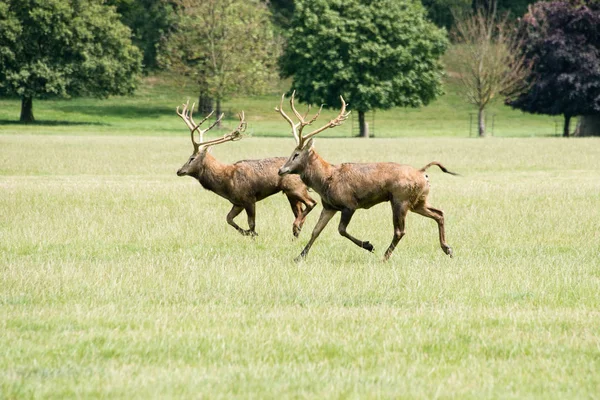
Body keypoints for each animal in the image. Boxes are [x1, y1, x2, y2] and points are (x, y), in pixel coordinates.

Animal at [175, 101, 316, 238]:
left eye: (192, 158)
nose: (179, 171)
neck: (225, 183)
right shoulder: (237, 202)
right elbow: (228, 218)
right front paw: (245, 232)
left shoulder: (249, 198)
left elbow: (251, 223)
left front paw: (253, 235)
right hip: (290, 193)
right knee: (299, 211)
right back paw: (295, 234)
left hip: (295, 188)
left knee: (311, 203)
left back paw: (295, 228)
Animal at [274, 93, 458, 262]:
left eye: (296, 154)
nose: (281, 170)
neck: (325, 181)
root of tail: (423, 173)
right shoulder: (329, 206)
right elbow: (315, 231)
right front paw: (299, 256)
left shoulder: (349, 204)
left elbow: (341, 230)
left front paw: (369, 245)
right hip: (419, 200)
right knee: (439, 213)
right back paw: (447, 248)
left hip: (400, 198)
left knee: (400, 230)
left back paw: (385, 256)